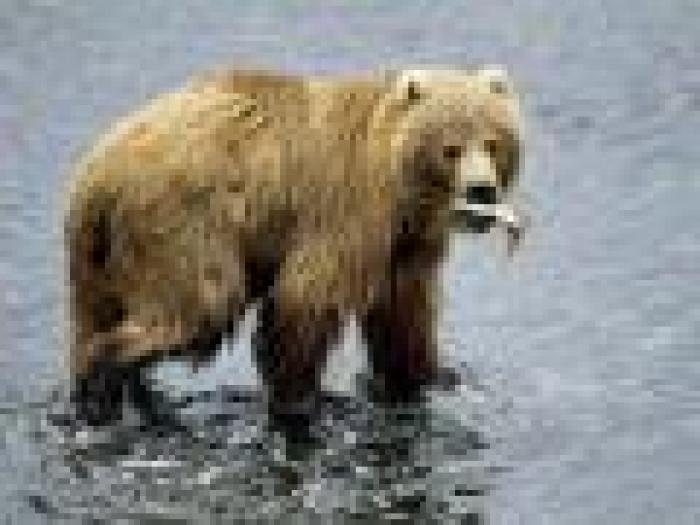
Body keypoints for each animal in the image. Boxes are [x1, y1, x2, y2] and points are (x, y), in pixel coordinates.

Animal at [63, 66, 523, 433]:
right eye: (451, 148)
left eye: (493, 142)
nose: (482, 190)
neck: (399, 191)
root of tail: (96, 174)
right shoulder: (345, 211)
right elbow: (304, 300)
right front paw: (299, 399)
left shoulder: (402, 248)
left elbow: (403, 314)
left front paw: (423, 378)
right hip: (184, 225)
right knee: (200, 306)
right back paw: (105, 386)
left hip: (99, 259)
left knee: (99, 314)